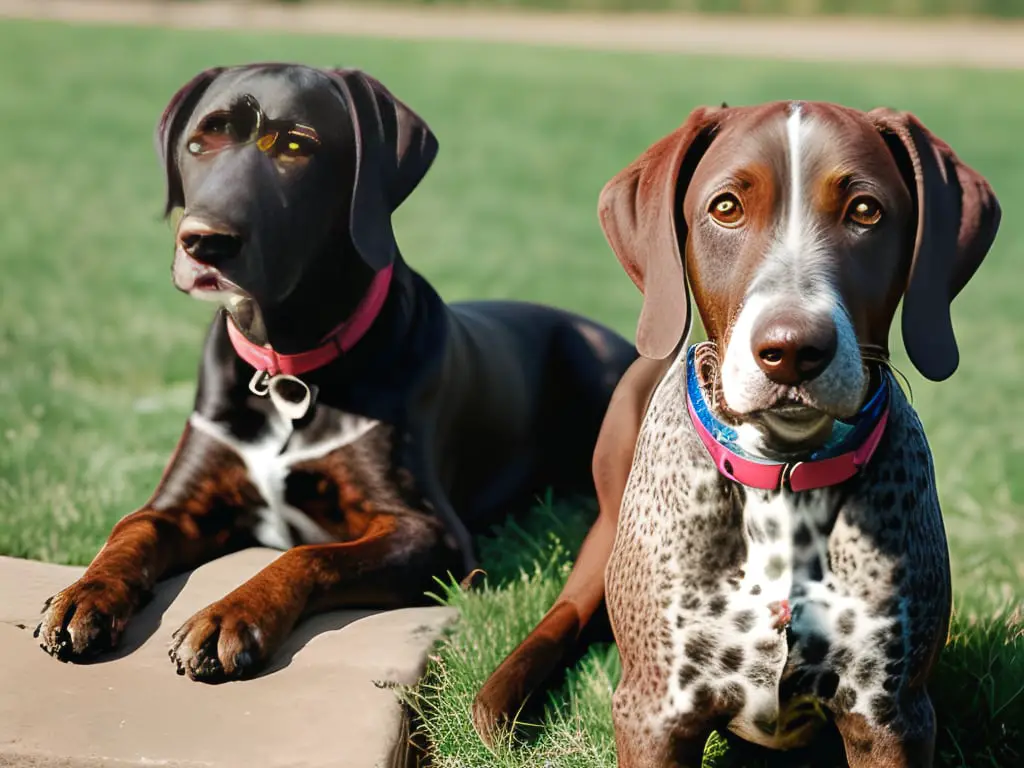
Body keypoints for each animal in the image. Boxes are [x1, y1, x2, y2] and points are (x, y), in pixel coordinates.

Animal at [34, 63, 630, 684]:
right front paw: (83, 595)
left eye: (297, 148)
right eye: (200, 143)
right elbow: (132, 529)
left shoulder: (431, 532)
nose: (204, 242)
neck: (287, 370)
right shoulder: (183, 502)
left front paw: (230, 616)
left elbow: (311, 554)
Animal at [477, 102, 999, 768]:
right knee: (563, 617)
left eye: (865, 211)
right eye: (726, 207)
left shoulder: (890, 718)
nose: (793, 350)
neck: (784, 477)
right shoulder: (656, 715)